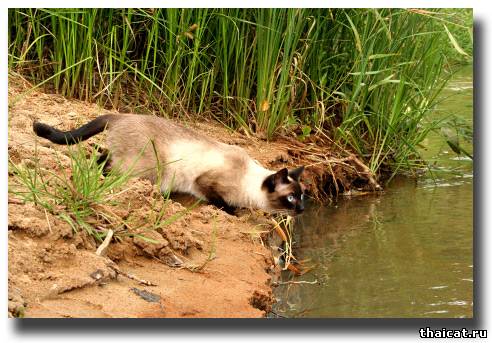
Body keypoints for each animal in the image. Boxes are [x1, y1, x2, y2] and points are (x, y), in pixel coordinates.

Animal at [32, 115, 306, 215]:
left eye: (303, 197)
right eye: (292, 198)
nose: (302, 210)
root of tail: (121, 114)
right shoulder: (204, 183)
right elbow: (222, 203)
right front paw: (234, 212)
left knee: (100, 159)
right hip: (146, 169)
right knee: (107, 168)